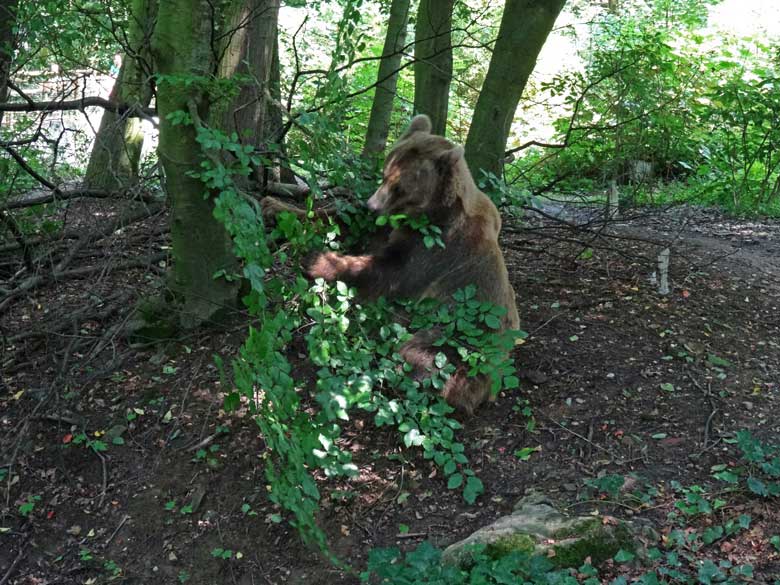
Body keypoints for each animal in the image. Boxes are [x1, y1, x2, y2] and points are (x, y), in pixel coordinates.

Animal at [262, 115, 516, 416]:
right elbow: (344, 219)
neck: (430, 211)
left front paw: (317, 259)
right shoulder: (393, 226)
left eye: (400, 187)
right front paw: (275, 206)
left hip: (455, 340)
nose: (371, 206)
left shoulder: (437, 247)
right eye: (384, 173)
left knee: (423, 359)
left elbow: (390, 272)